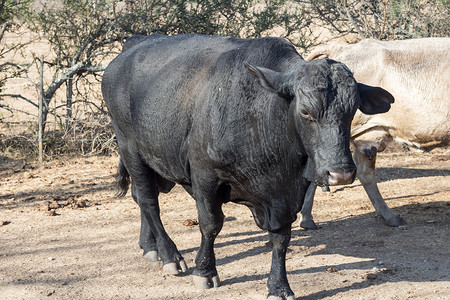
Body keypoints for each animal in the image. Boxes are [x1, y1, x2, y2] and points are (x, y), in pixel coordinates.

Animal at [103, 34, 394, 298]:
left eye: (353, 110)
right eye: (306, 112)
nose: (340, 173)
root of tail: (133, 45)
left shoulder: (285, 195)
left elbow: (281, 237)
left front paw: (279, 286)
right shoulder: (204, 175)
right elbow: (210, 224)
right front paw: (205, 271)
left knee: (140, 197)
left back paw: (149, 246)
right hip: (131, 149)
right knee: (149, 201)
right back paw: (169, 255)